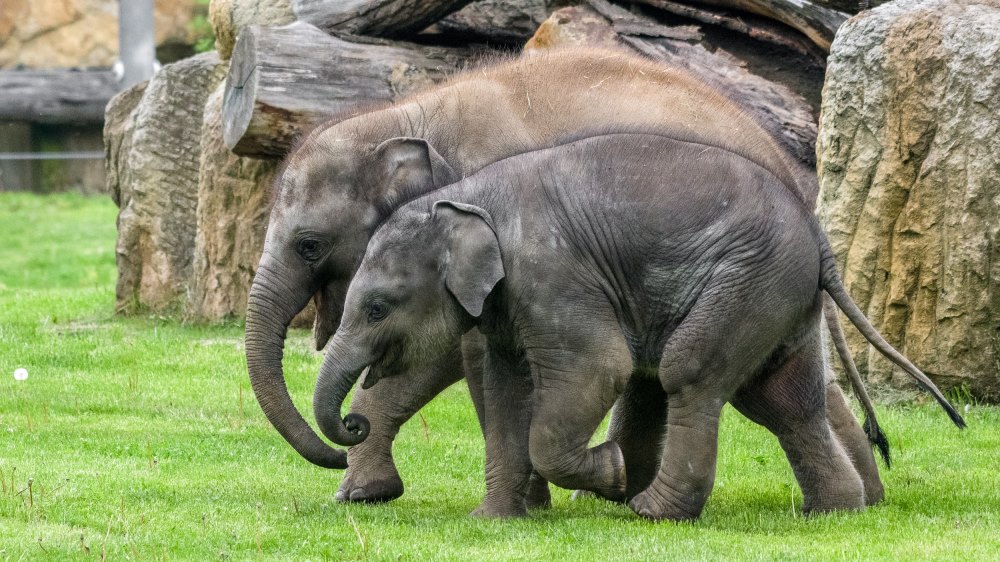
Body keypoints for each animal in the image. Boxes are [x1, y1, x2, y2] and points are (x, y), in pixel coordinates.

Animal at [246, 44, 888, 508]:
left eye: (309, 245)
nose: (344, 435)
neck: (403, 115)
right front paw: (365, 494)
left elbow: (458, 354)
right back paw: (862, 495)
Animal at [316, 129, 964, 520]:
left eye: (376, 308)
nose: (351, 422)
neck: (465, 196)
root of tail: (818, 235)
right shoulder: (507, 302)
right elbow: (504, 391)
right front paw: (493, 519)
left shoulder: (554, 277)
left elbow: (598, 370)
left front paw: (610, 471)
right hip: (781, 293)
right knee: (781, 399)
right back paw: (832, 511)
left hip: (748, 279)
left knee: (690, 373)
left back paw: (654, 510)